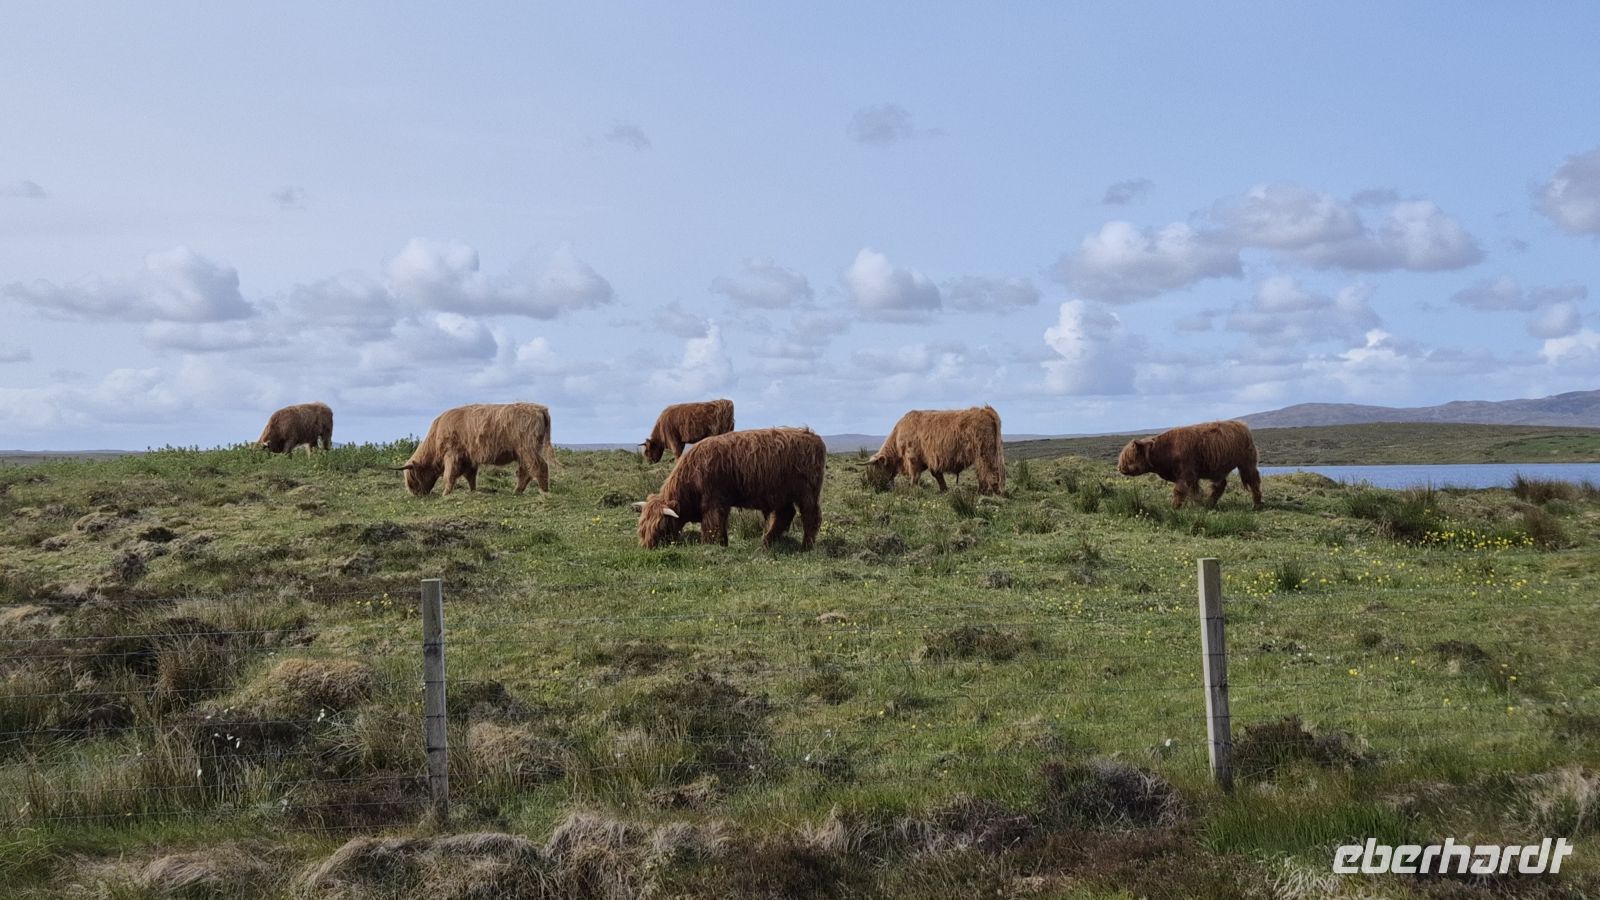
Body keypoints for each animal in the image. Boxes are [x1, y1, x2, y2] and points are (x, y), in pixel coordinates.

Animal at [399, 402, 555, 496]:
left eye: (412, 478)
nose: (415, 494)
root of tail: (539, 408)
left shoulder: (452, 454)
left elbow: (450, 475)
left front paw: (445, 494)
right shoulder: (468, 458)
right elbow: (470, 476)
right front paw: (473, 491)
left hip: (528, 449)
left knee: (540, 467)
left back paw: (544, 492)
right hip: (523, 452)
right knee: (525, 472)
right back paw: (516, 492)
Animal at [634, 427, 825, 549]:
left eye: (660, 526)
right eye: (642, 527)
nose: (648, 547)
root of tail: (813, 437)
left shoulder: (713, 501)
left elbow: (712, 525)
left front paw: (711, 545)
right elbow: (721, 524)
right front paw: (723, 543)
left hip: (807, 493)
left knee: (810, 517)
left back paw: (806, 546)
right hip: (781, 494)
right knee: (785, 515)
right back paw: (766, 542)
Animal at [867, 405, 1005, 495]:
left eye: (877, 468)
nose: (874, 485)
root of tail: (986, 410)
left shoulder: (913, 457)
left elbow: (915, 476)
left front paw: (912, 489)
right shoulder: (931, 461)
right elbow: (937, 475)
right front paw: (944, 489)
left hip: (985, 452)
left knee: (990, 471)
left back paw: (991, 493)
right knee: (983, 472)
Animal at [1116, 419, 1263, 510]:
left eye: (1129, 458)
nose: (1120, 468)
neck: (1165, 450)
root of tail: (1242, 425)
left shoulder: (1186, 473)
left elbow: (1179, 490)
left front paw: (1175, 507)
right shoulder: (1192, 476)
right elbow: (1194, 491)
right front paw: (1198, 504)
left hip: (1246, 463)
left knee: (1253, 481)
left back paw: (1256, 505)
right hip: (1220, 470)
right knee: (1220, 485)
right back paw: (1210, 503)